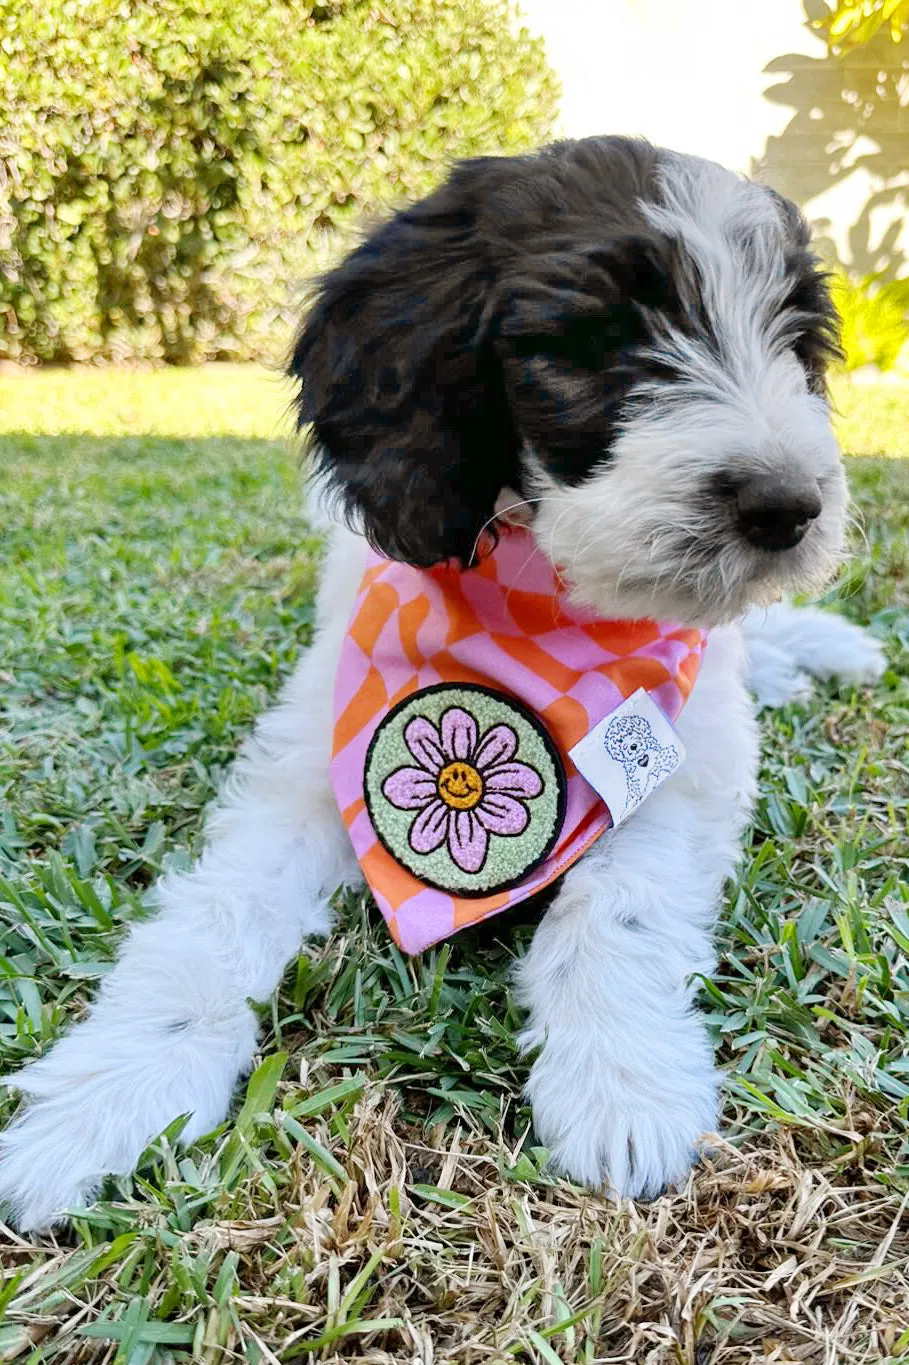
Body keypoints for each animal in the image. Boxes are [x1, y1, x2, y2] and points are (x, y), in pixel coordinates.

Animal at [0, 135, 878, 1228]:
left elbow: (617, 906)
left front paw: (620, 1081)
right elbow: (210, 924)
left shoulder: (684, 769)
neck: (553, 607)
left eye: (794, 339)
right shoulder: (301, 769)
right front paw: (107, 1096)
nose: (787, 506)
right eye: (595, 339)